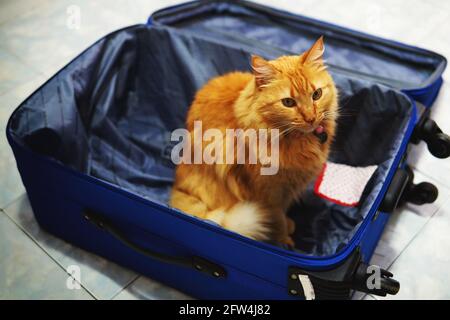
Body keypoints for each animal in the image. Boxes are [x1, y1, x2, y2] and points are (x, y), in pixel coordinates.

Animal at [170, 37, 338, 245]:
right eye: (288, 102)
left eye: (316, 95)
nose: (310, 118)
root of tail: (177, 189)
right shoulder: (268, 194)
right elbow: (278, 219)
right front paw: (282, 240)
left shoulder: (286, 190)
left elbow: (283, 213)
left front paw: (288, 227)